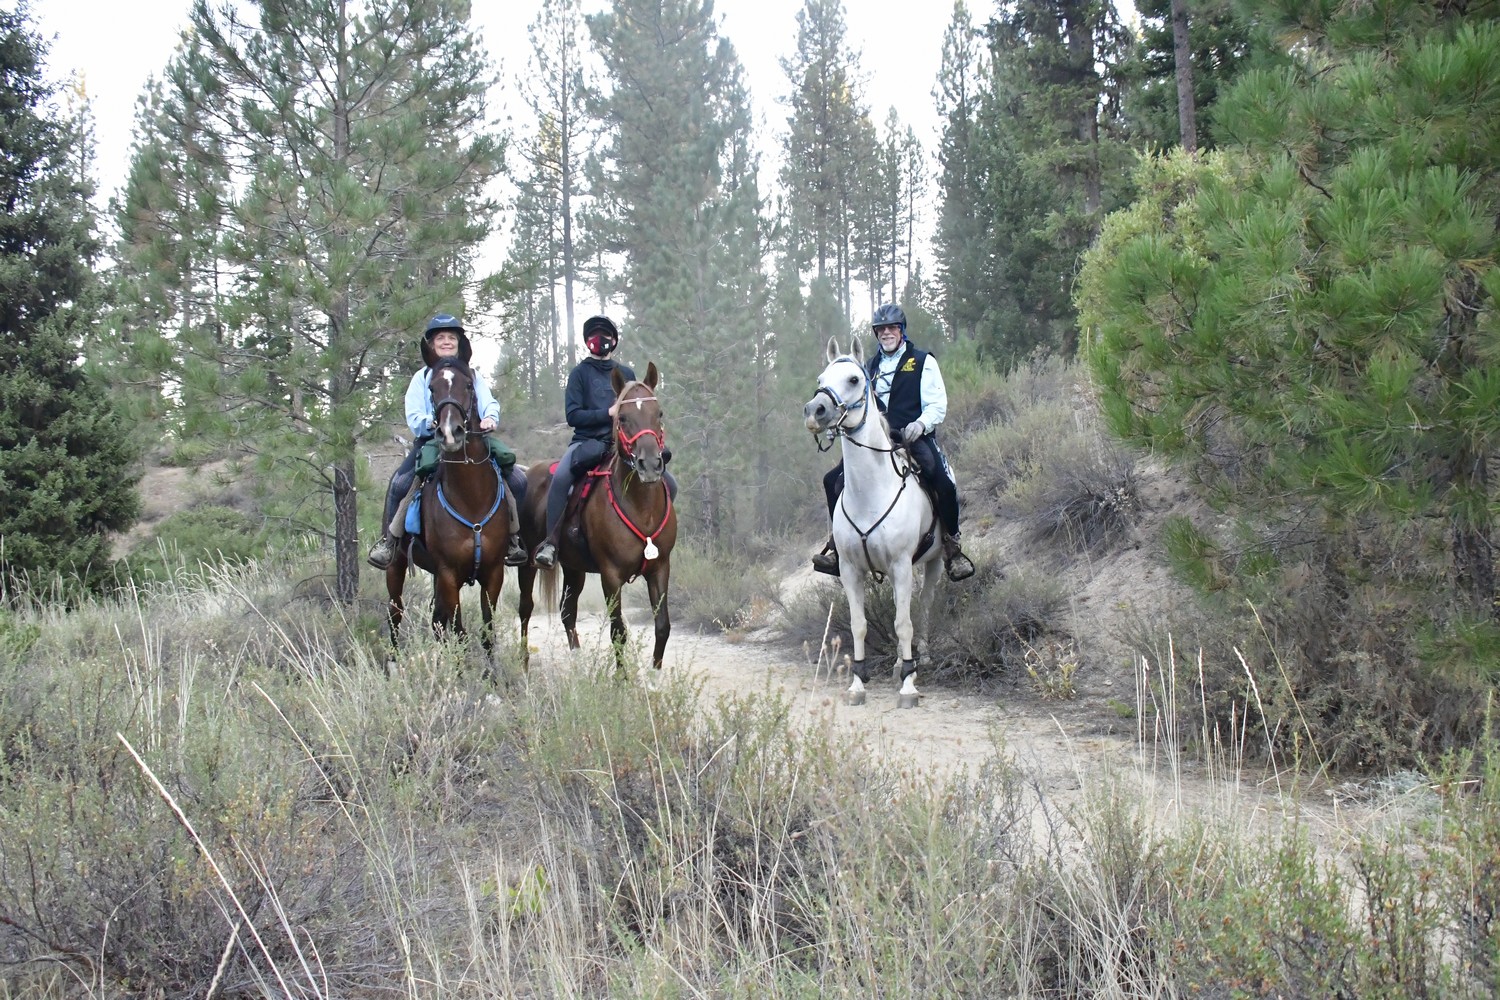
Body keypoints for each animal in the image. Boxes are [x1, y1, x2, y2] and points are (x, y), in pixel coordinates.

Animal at [387, 359, 516, 656]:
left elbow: (487, 633)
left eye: (469, 385)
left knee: (436, 621)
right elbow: (459, 632)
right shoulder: (448, 575)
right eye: (432, 388)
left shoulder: (493, 573)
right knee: (395, 614)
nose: (448, 432)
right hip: (396, 566)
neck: (471, 499)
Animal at [519, 364, 678, 677]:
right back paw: (523, 663)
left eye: (659, 413)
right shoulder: (610, 575)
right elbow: (618, 631)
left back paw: (578, 663)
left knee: (567, 611)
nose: (651, 465)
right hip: (527, 563)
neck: (641, 507)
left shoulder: (660, 568)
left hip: (573, 568)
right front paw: (621, 680)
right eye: (623, 418)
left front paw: (654, 678)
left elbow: (662, 626)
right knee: (525, 609)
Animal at [810, 338, 936, 710]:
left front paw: (909, 687)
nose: (814, 410)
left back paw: (920, 659)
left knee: (924, 605)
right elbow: (859, 625)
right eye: (821, 378)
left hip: (935, 562)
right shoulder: (851, 570)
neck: (870, 493)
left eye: (854, 379)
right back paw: (897, 664)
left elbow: (904, 623)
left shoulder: (902, 565)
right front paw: (857, 684)